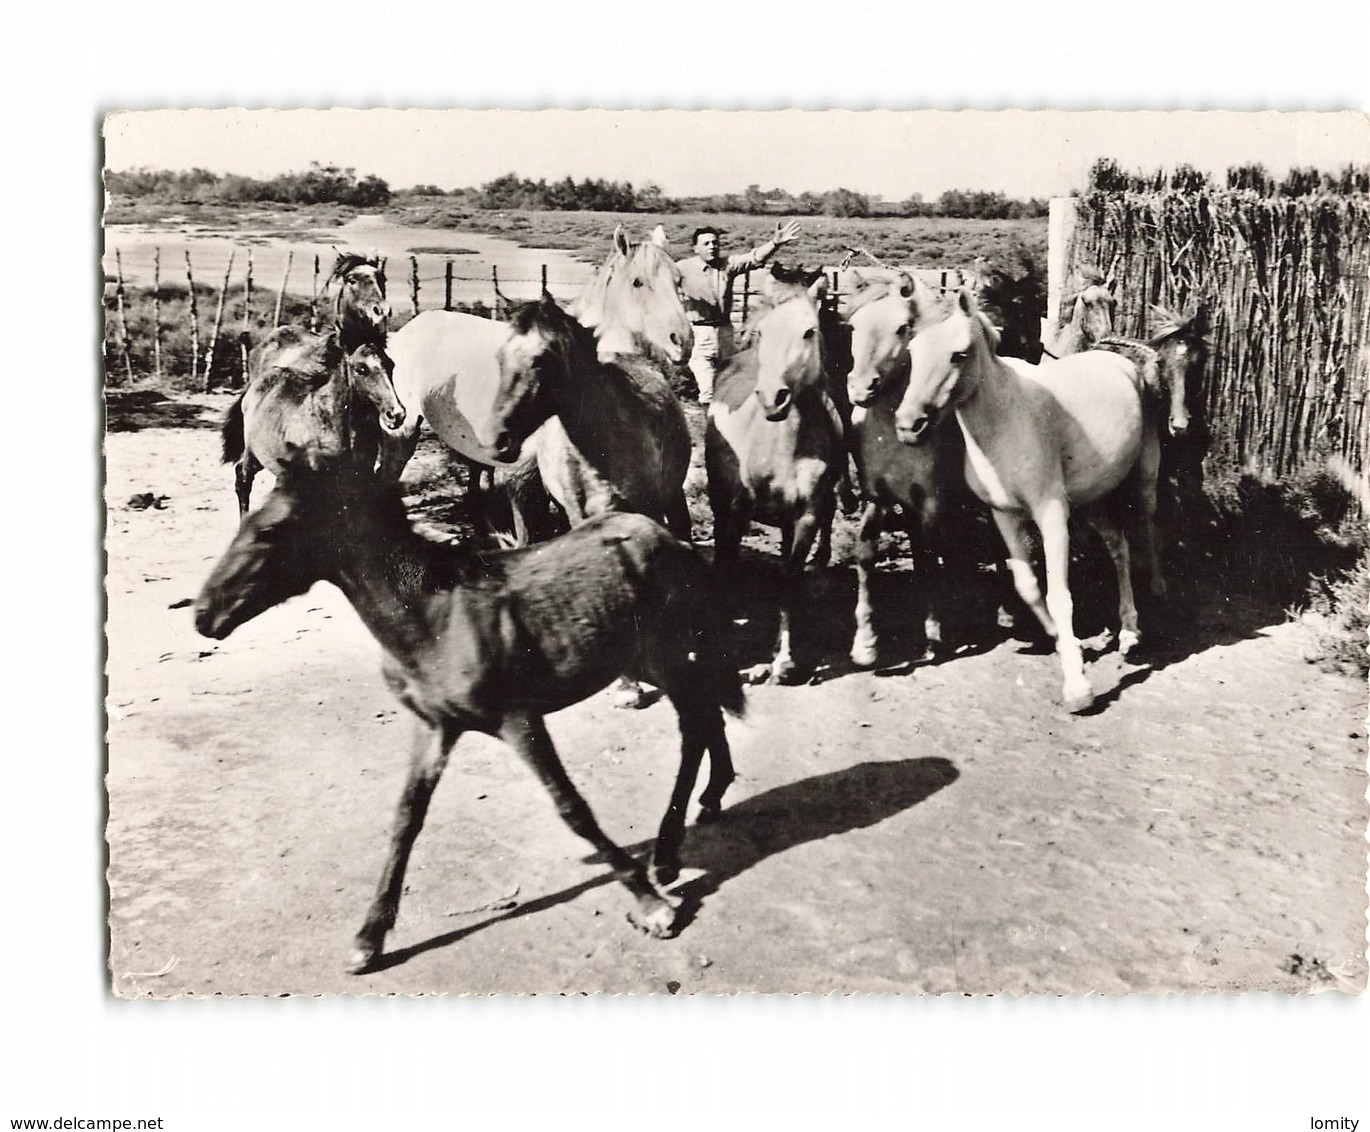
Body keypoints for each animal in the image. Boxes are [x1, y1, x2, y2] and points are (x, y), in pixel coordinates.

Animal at [706, 268, 843, 682]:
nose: (772, 398)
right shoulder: (736, 514)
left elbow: (788, 581)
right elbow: (728, 571)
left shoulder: (806, 518)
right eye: (764, 331)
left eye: (809, 331)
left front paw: (783, 659)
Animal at [838, 269, 969, 666]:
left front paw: (933, 634)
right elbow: (866, 553)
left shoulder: (931, 499)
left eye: (902, 327)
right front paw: (865, 643)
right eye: (853, 327)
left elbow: (927, 559)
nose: (860, 389)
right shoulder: (877, 495)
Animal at [893, 286, 1161, 712]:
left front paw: (1078, 689)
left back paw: (1151, 602)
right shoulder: (1004, 516)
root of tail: (1119, 361)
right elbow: (1029, 587)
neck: (1006, 422)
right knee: (1118, 547)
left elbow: (1060, 596)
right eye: (913, 351)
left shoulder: (1050, 514)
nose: (908, 425)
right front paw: (1069, 646)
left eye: (959, 354)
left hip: (1143, 479)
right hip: (1090, 501)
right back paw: (1128, 631)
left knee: (1144, 530)